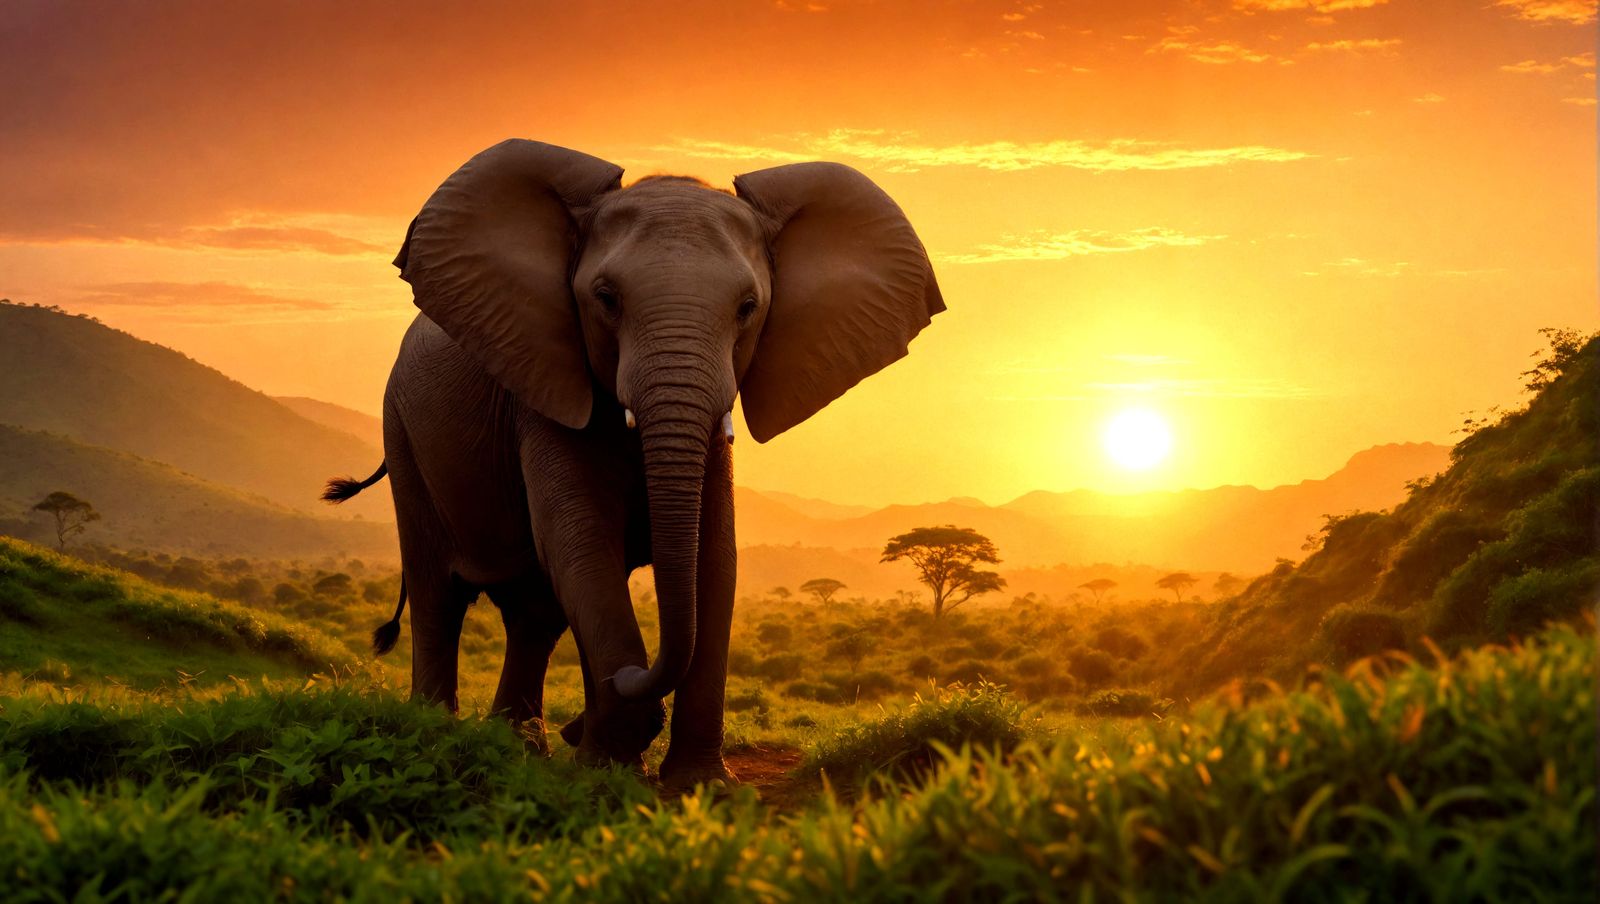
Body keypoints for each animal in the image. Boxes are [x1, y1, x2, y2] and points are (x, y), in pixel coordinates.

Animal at [325, 139, 943, 788]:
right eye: (606, 299)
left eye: (748, 308)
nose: (588, 715)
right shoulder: (542, 390)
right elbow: (581, 542)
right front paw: (610, 760)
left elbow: (714, 559)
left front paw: (696, 781)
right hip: (402, 432)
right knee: (438, 592)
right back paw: (442, 734)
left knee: (535, 612)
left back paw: (523, 747)